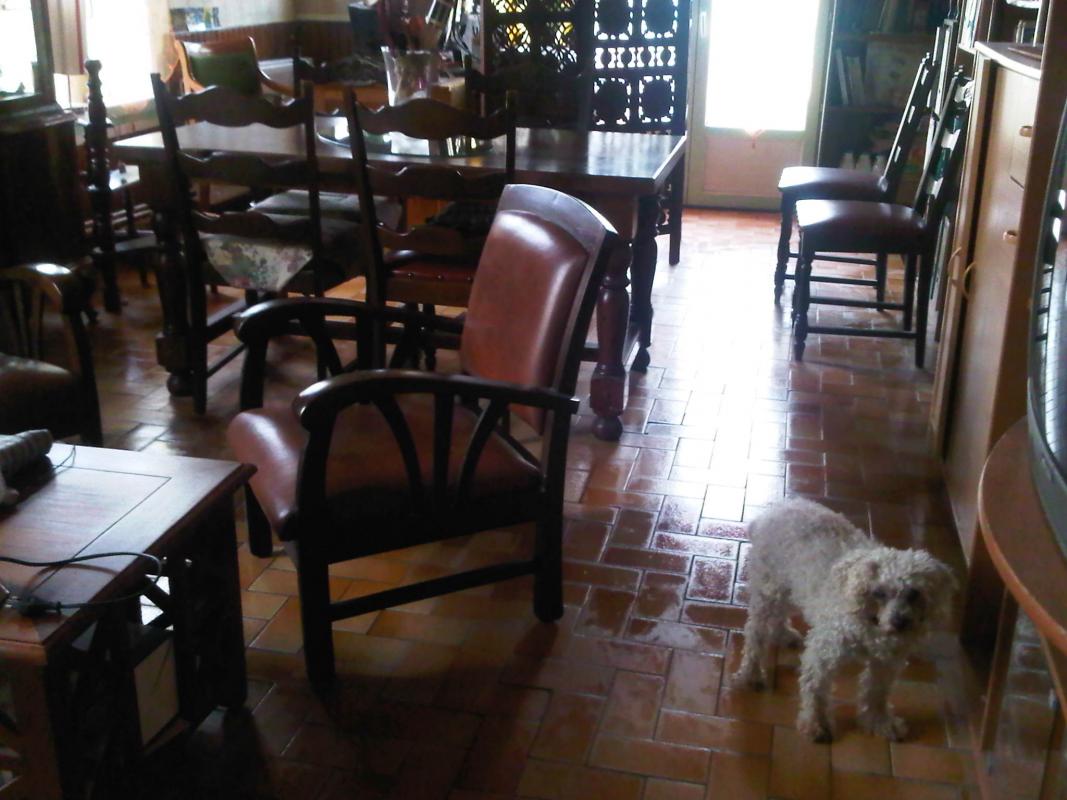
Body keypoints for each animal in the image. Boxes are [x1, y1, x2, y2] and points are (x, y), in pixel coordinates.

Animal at [734, 498, 956, 743]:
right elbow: (816, 689)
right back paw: (751, 674)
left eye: (914, 593)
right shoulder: (823, 653)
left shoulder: (886, 662)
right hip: (769, 591)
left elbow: (877, 692)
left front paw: (879, 721)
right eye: (880, 593)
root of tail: (776, 509)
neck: (871, 622)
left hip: (791, 587)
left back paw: (783, 635)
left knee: (778, 617)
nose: (900, 623)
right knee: (755, 632)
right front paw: (816, 724)